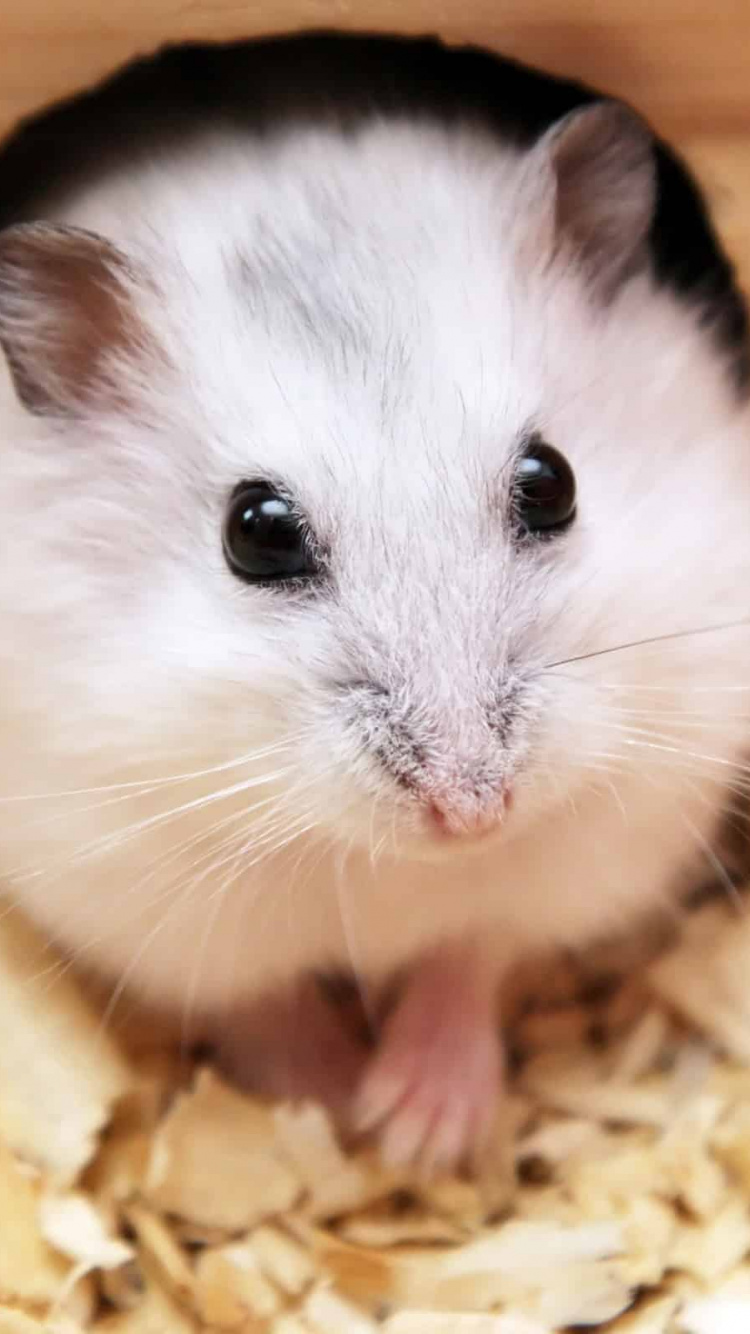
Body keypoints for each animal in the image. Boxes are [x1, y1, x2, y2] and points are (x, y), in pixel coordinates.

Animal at [0, 33, 749, 1170]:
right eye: (256, 532)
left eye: (553, 481)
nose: (472, 811)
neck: (389, 865)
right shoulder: (146, 898)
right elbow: (262, 1007)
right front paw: (329, 1110)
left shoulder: (580, 857)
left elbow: (473, 953)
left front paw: (412, 1131)